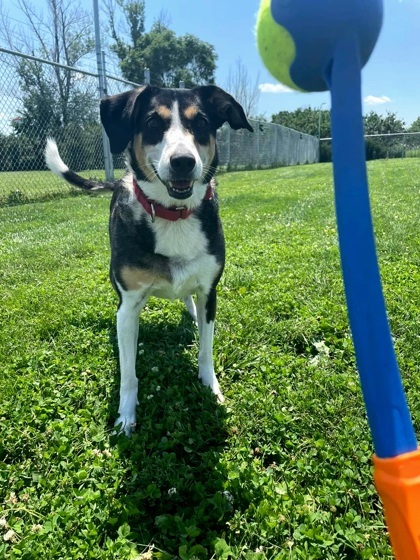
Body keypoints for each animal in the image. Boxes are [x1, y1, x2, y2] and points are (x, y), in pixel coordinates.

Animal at [46, 83, 253, 436]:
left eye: (201, 123)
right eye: (154, 123)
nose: (183, 161)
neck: (173, 214)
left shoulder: (210, 290)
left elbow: (206, 349)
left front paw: (210, 387)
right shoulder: (128, 306)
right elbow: (128, 373)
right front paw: (125, 417)